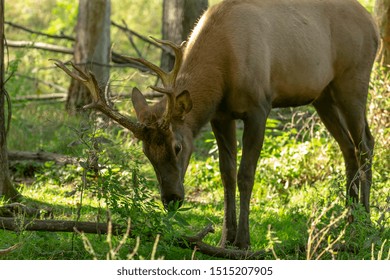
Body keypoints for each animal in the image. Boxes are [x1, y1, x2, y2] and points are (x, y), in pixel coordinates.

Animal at [54, 0, 378, 249]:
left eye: (177, 146)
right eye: (146, 153)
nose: (171, 199)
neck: (223, 68)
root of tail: (374, 25)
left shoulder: (259, 107)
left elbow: (246, 174)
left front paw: (244, 241)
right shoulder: (221, 115)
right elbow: (226, 174)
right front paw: (225, 238)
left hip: (353, 79)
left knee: (365, 143)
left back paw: (366, 224)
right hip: (323, 94)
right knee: (348, 147)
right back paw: (350, 221)